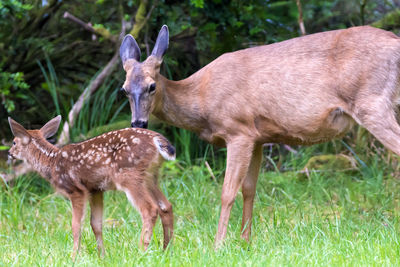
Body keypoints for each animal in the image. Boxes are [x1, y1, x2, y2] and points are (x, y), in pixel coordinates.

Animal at [7, 115, 175, 258]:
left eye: (14, 142)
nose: (9, 153)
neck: (52, 163)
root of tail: (158, 141)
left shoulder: (76, 190)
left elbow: (76, 225)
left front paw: (73, 256)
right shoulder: (95, 189)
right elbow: (96, 224)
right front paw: (102, 256)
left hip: (129, 176)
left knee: (150, 209)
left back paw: (141, 251)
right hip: (151, 177)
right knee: (166, 206)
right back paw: (166, 250)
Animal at [119, 25, 400, 247]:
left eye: (152, 86)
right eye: (124, 89)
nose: (138, 122)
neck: (201, 98)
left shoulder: (238, 130)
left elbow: (227, 191)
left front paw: (218, 244)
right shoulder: (258, 138)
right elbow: (249, 190)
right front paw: (245, 241)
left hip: (372, 102)